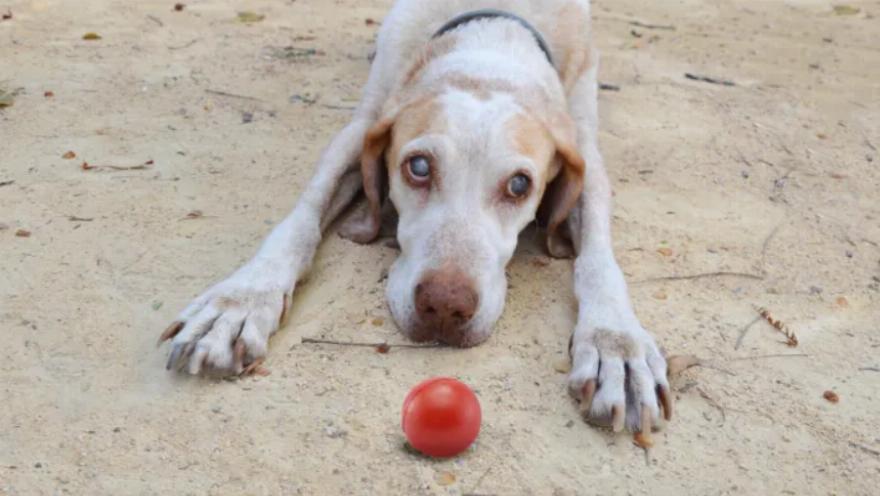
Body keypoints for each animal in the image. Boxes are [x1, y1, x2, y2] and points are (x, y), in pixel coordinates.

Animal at [159, 0, 672, 434]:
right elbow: (300, 219)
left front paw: (616, 343)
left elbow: (599, 260)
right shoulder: (362, 125)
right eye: (419, 167)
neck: (492, 45)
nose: (445, 306)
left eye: (520, 185)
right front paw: (240, 301)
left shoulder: (586, 152)